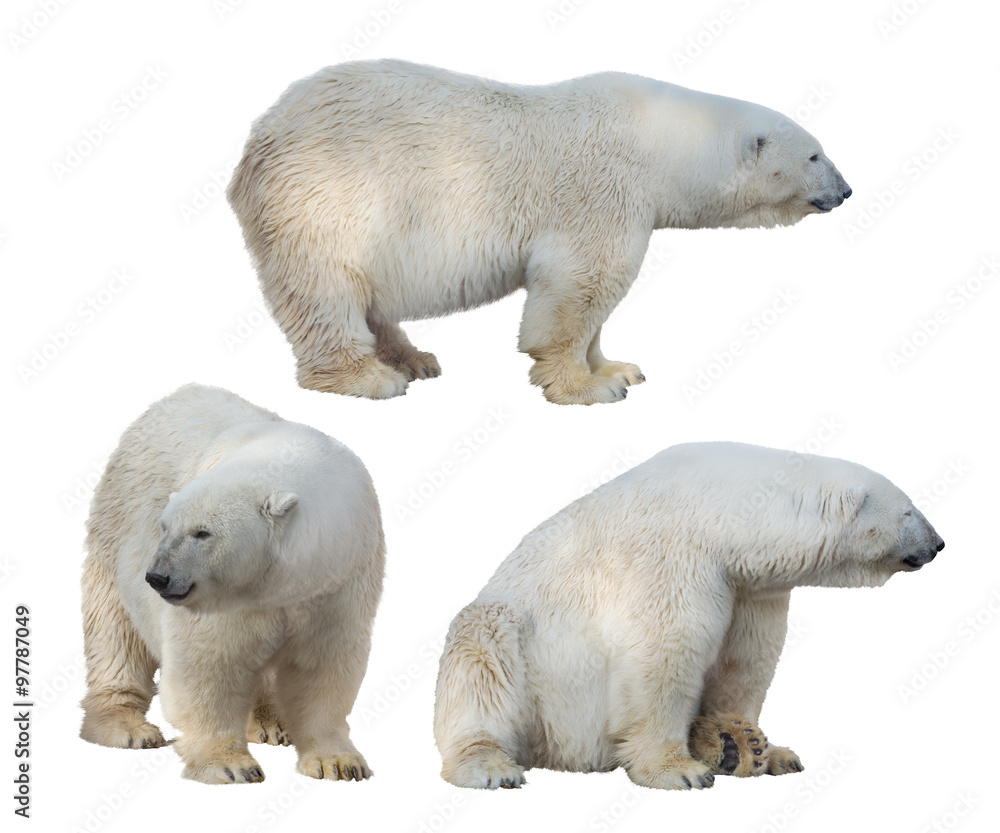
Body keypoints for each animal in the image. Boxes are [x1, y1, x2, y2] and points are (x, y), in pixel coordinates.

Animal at [80, 383, 385, 784]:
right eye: (166, 527)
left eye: (203, 533)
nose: (158, 577)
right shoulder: (227, 596)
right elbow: (209, 662)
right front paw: (230, 764)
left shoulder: (340, 578)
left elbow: (322, 664)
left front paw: (339, 762)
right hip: (116, 526)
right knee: (115, 631)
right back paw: (126, 727)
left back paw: (271, 723)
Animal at [227, 59, 850, 405]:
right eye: (815, 155)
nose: (845, 191)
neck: (660, 140)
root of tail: (259, 136)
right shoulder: (601, 190)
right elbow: (580, 282)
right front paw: (589, 387)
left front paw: (617, 366)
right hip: (327, 199)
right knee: (326, 289)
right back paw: (369, 378)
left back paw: (413, 358)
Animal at [433, 442, 943, 790]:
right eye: (908, 511)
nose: (938, 543)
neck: (726, 514)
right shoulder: (674, 560)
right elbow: (664, 656)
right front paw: (679, 770)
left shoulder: (750, 586)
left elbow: (746, 662)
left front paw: (762, 747)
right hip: (521, 654)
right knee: (481, 656)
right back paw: (490, 766)